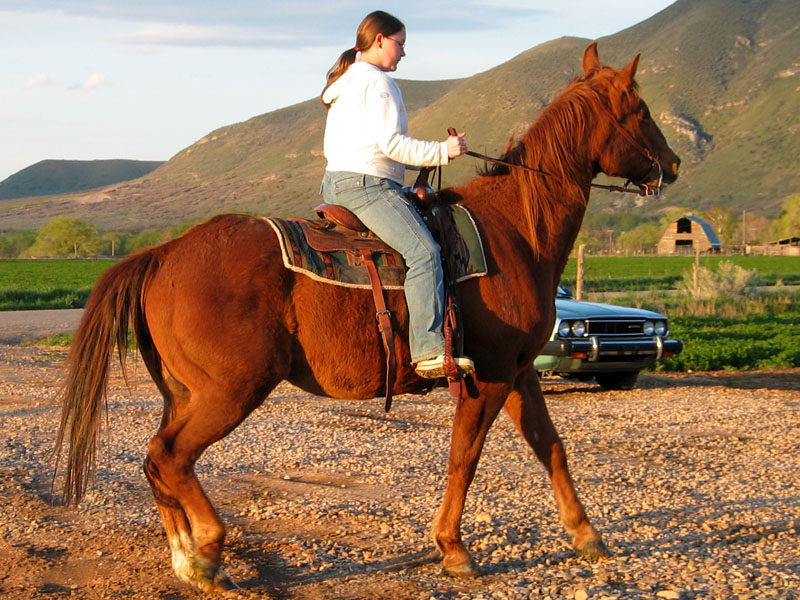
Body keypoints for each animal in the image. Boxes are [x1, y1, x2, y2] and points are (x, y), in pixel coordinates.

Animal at [54, 43, 680, 592]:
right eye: (642, 111)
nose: (673, 165)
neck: (515, 229)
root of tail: (164, 252)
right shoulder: (491, 375)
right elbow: (464, 458)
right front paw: (454, 550)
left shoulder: (521, 370)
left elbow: (551, 447)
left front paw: (587, 536)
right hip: (230, 391)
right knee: (170, 457)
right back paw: (207, 554)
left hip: (185, 393)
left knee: (157, 462)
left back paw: (188, 559)